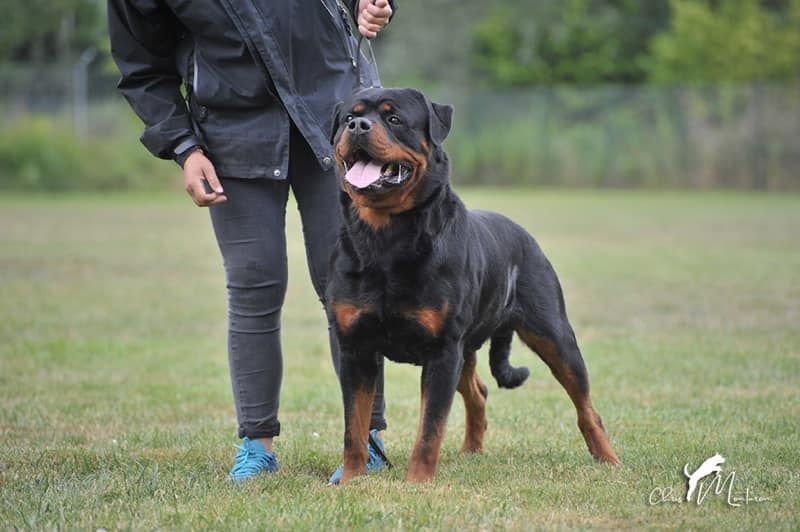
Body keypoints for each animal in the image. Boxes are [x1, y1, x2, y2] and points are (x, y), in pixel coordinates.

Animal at [324, 88, 620, 486]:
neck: (385, 239)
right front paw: (350, 480)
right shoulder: (355, 347)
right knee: (477, 392)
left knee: (585, 404)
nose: (358, 126)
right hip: (466, 349)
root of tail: (525, 236)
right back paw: (472, 450)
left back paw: (608, 459)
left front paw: (417, 483)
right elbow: (354, 427)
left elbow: (429, 428)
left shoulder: (442, 350)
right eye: (347, 118)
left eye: (394, 118)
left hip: (553, 335)